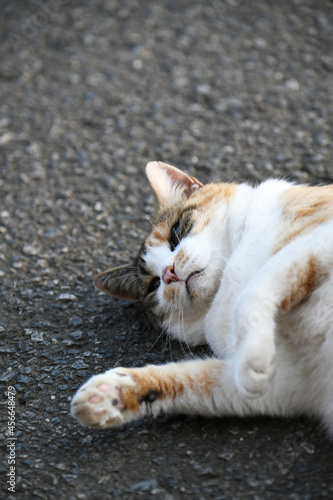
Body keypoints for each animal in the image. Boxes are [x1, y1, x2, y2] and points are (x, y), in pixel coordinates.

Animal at [70, 161, 332, 434]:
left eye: (175, 232)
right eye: (154, 285)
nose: (169, 273)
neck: (223, 288)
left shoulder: (318, 240)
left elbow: (249, 296)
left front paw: (254, 359)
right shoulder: (290, 381)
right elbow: (192, 378)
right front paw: (111, 395)